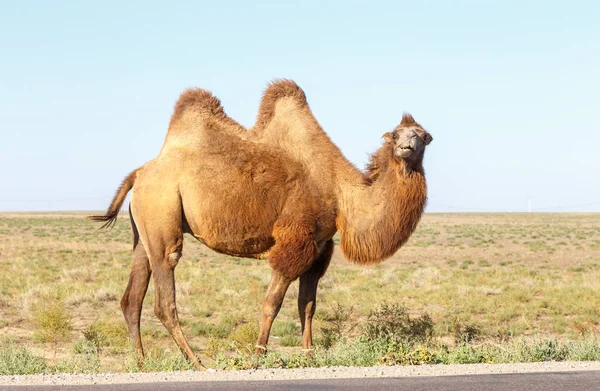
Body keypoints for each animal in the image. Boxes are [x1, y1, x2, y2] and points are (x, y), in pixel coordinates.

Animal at [88, 80, 432, 370]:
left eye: (422, 135)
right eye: (397, 135)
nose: (406, 148)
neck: (340, 192)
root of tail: (139, 173)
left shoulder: (319, 248)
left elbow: (307, 305)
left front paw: (310, 356)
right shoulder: (294, 240)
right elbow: (272, 303)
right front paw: (257, 356)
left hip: (143, 230)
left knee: (132, 298)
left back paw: (142, 362)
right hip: (162, 213)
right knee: (164, 294)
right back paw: (196, 362)